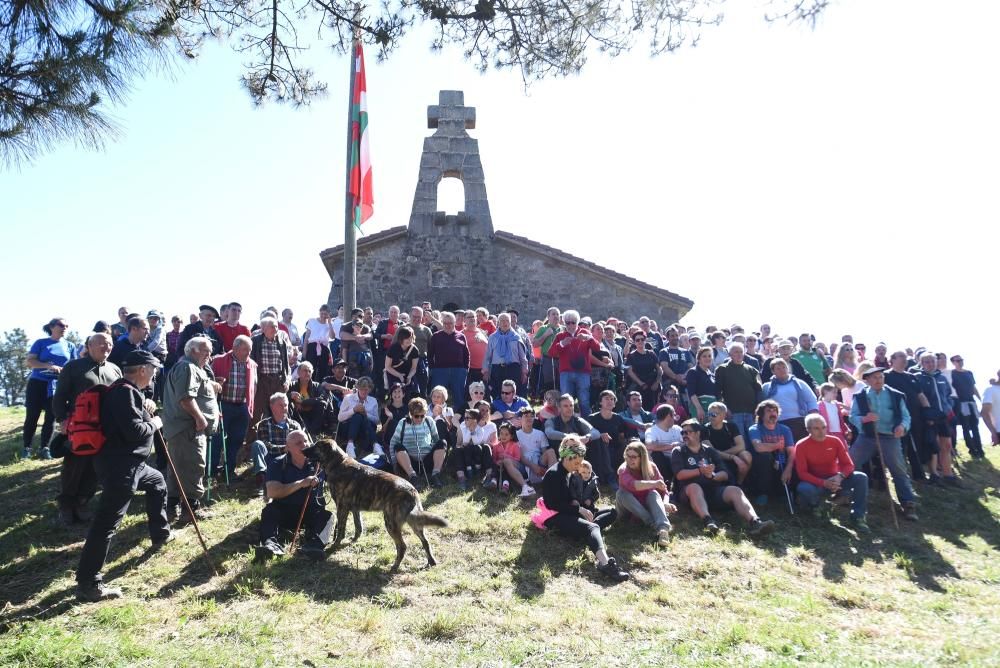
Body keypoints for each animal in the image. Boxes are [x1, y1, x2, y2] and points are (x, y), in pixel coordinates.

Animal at [300, 438, 450, 568]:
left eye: (316, 446)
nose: (302, 450)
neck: (337, 463)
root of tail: (411, 491)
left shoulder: (341, 508)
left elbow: (340, 530)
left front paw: (334, 546)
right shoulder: (355, 509)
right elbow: (358, 527)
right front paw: (353, 540)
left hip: (390, 523)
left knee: (402, 546)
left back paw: (394, 566)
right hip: (415, 523)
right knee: (425, 542)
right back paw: (431, 561)